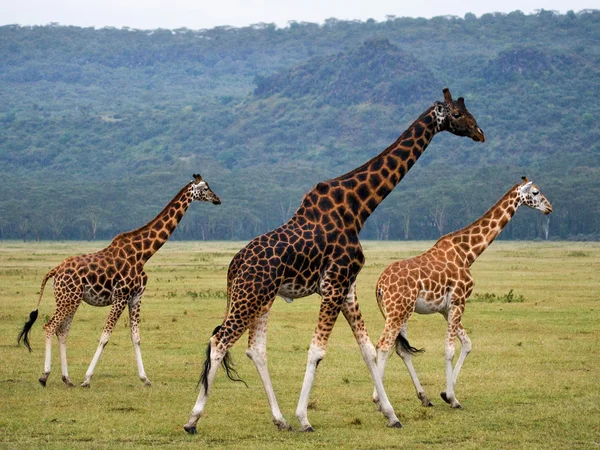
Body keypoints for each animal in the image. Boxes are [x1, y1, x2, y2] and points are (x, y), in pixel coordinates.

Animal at [18, 174, 220, 388]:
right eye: (205, 188)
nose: (217, 199)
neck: (143, 254)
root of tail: (55, 271)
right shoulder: (120, 296)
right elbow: (105, 336)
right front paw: (87, 378)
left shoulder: (135, 297)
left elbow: (136, 337)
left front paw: (145, 379)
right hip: (68, 299)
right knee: (49, 326)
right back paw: (44, 375)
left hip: (71, 299)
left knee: (62, 331)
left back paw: (67, 378)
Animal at [185, 88, 486, 432]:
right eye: (458, 114)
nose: (480, 133)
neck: (357, 209)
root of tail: (233, 267)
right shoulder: (334, 284)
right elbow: (317, 351)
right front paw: (305, 418)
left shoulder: (348, 288)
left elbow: (368, 351)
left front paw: (391, 414)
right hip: (249, 297)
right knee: (219, 341)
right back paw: (193, 419)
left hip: (260, 298)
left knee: (255, 349)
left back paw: (279, 419)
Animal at [376, 178, 552, 410]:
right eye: (536, 192)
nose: (549, 208)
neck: (468, 253)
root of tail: (379, 286)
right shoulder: (459, 301)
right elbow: (450, 349)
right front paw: (452, 398)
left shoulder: (446, 308)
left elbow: (467, 344)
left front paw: (445, 393)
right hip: (398, 311)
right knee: (383, 346)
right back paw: (379, 400)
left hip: (399, 312)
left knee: (400, 350)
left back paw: (423, 397)